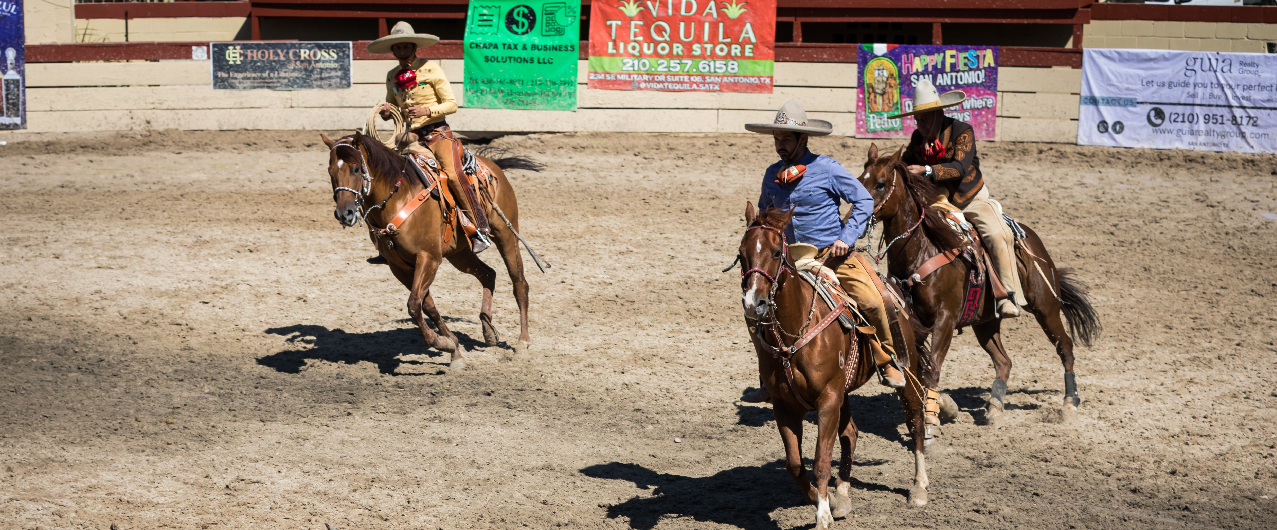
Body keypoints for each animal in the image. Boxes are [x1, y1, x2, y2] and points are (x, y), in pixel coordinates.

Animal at [321, 131, 541, 370]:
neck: (400, 198)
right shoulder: (399, 267)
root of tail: (492, 167)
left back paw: (523, 343)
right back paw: (488, 331)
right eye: (331, 171)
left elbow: (414, 304)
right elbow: (427, 306)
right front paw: (453, 348)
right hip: (460, 254)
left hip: (506, 235)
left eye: (356, 169)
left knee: (519, 284)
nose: (344, 213)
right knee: (488, 274)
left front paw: (442, 343)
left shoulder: (429, 258)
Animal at [740, 205, 929, 526]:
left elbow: (820, 461)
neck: (794, 333)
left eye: (777, 253)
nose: (755, 304)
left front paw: (823, 517)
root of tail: (895, 289)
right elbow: (794, 464)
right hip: (844, 390)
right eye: (742, 254)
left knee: (915, 417)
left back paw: (919, 487)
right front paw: (820, 499)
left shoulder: (827, 399)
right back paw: (841, 494)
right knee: (850, 433)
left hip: (907, 370)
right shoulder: (785, 405)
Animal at [863, 143, 1103, 434]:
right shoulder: (916, 324)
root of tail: (1031, 237)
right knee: (1004, 361)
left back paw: (1069, 402)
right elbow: (920, 370)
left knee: (1064, 345)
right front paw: (945, 406)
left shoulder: (945, 319)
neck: (922, 249)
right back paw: (994, 407)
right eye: (859, 178)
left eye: (880, 184)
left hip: (1045, 306)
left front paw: (932, 419)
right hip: (985, 321)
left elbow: (932, 368)